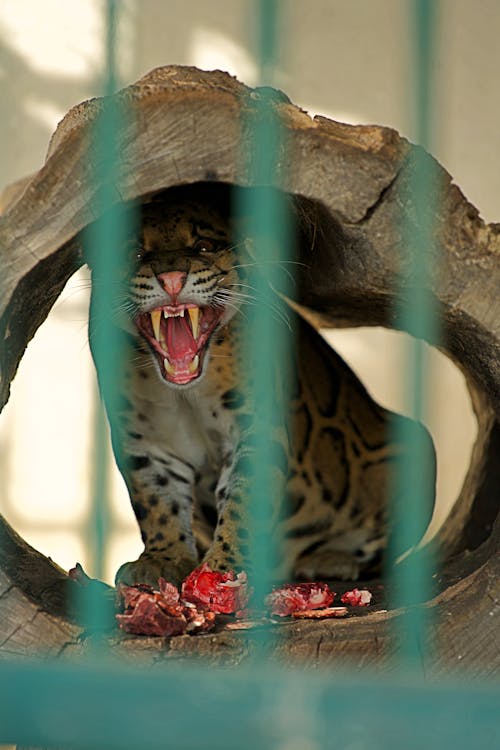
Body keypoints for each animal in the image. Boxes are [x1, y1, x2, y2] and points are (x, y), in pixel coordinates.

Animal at [87, 182, 434, 588]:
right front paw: (163, 558)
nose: (171, 279)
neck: (188, 394)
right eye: (136, 253)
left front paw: (223, 569)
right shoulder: (145, 443)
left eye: (203, 246)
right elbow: (158, 502)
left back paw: (331, 559)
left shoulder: (256, 428)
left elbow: (241, 502)